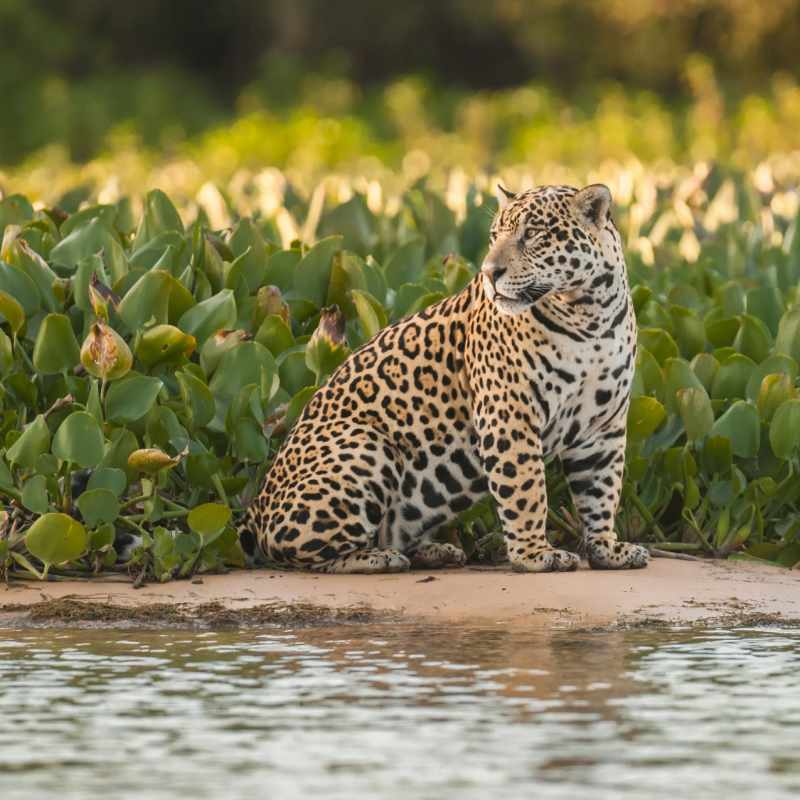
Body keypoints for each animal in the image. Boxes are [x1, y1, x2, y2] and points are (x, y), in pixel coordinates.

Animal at [239, 183, 649, 574]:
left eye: (532, 234)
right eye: (494, 236)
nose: (489, 273)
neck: (588, 314)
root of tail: (256, 507)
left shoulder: (604, 426)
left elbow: (602, 490)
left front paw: (607, 549)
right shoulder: (508, 416)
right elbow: (526, 490)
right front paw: (535, 554)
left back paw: (433, 551)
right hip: (366, 447)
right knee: (296, 551)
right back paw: (378, 558)